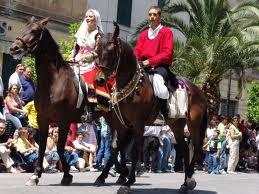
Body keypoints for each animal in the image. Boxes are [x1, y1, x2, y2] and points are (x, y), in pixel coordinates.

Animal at [9, 17, 90, 186]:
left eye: (34, 31)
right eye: (25, 27)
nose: (15, 47)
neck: (53, 82)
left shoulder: (64, 121)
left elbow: (59, 147)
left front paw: (66, 174)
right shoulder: (43, 118)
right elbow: (43, 146)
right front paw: (35, 176)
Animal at [94, 23, 208, 193]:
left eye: (112, 51)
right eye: (97, 50)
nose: (100, 79)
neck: (132, 86)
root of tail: (199, 91)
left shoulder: (138, 124)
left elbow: (135, 151)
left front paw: (128, 181)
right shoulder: (121, 124)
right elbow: (114, 148)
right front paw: (119, 173)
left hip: (193, 125)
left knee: (194, 147)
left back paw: (189, 180)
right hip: (176, 125)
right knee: (184, 149)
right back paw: (185, 183)